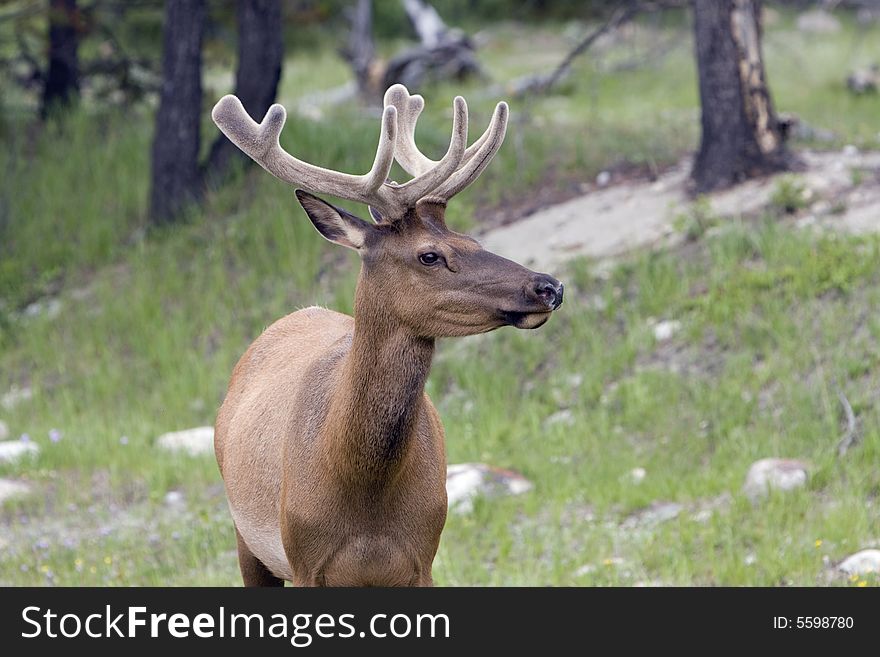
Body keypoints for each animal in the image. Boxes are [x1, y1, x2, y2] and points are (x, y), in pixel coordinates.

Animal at [215, 84, 564, 588]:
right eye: (429, 255)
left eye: (473, 241)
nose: (549, 286)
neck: (363, 488)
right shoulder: (303, 560)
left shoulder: (423, 558)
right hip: (247, 538)